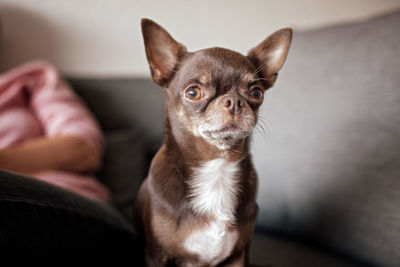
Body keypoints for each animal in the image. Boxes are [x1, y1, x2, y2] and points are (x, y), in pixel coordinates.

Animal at [133, 19, 292, 267]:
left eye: (256, 93)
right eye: (193, 92)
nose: (234, 101)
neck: (217, 167)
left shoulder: (238, 255)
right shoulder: (156, 255)